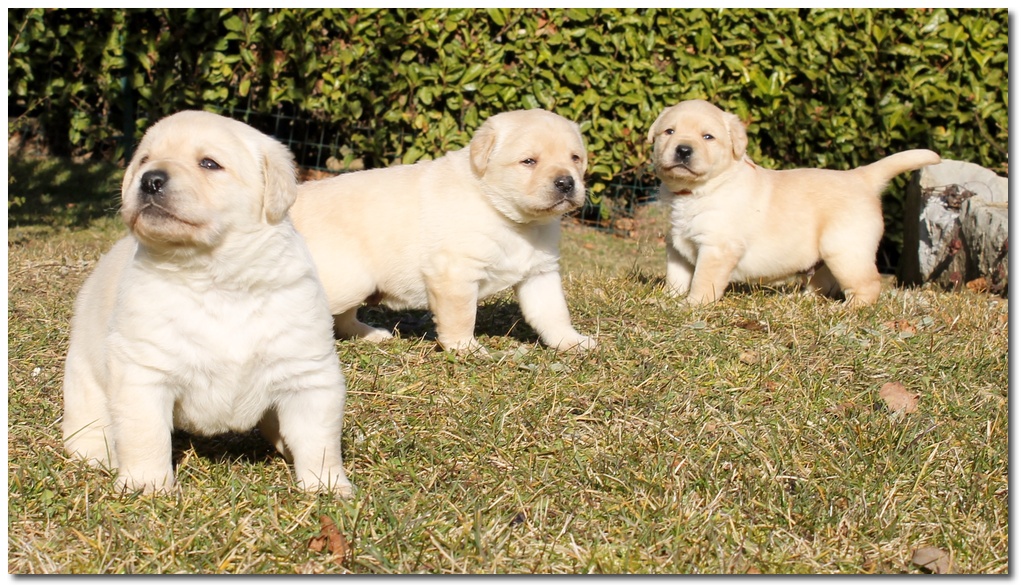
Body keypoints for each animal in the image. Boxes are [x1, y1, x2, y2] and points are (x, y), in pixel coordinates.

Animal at [62, 110, 354, 496]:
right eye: (144, 159)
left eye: (209, 163)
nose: (150, 179)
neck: (216, 276)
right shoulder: (143, 373)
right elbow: (145, 435)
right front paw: (147, 485)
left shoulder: (308, 371)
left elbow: (319, 439)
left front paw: (327, 486)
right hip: (85, 371)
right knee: (89, 419)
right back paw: (96, 454)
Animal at [291, 109, 596, 354]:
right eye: (529, 161)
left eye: (575, 158)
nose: (566, 182)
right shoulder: (454, 272)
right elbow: (462, 315)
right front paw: (465, 348)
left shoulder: (540, 272)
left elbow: (554, 313)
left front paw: (572, 341)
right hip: (349, 279)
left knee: (341, 319)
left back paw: (371, 334)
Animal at [647, 99, 941, 306]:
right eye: (669, 132)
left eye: (708, 137)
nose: (683, 150)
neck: (693, 193)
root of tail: (860, 176)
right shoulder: (676, 245)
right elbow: (676, 276)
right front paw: (667, 298)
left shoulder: (717, 246)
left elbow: (703, 280)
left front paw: (693, 304)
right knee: (823, 282)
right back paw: (800, 299)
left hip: (845, 249)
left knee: (867, 284)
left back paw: (846, 309)